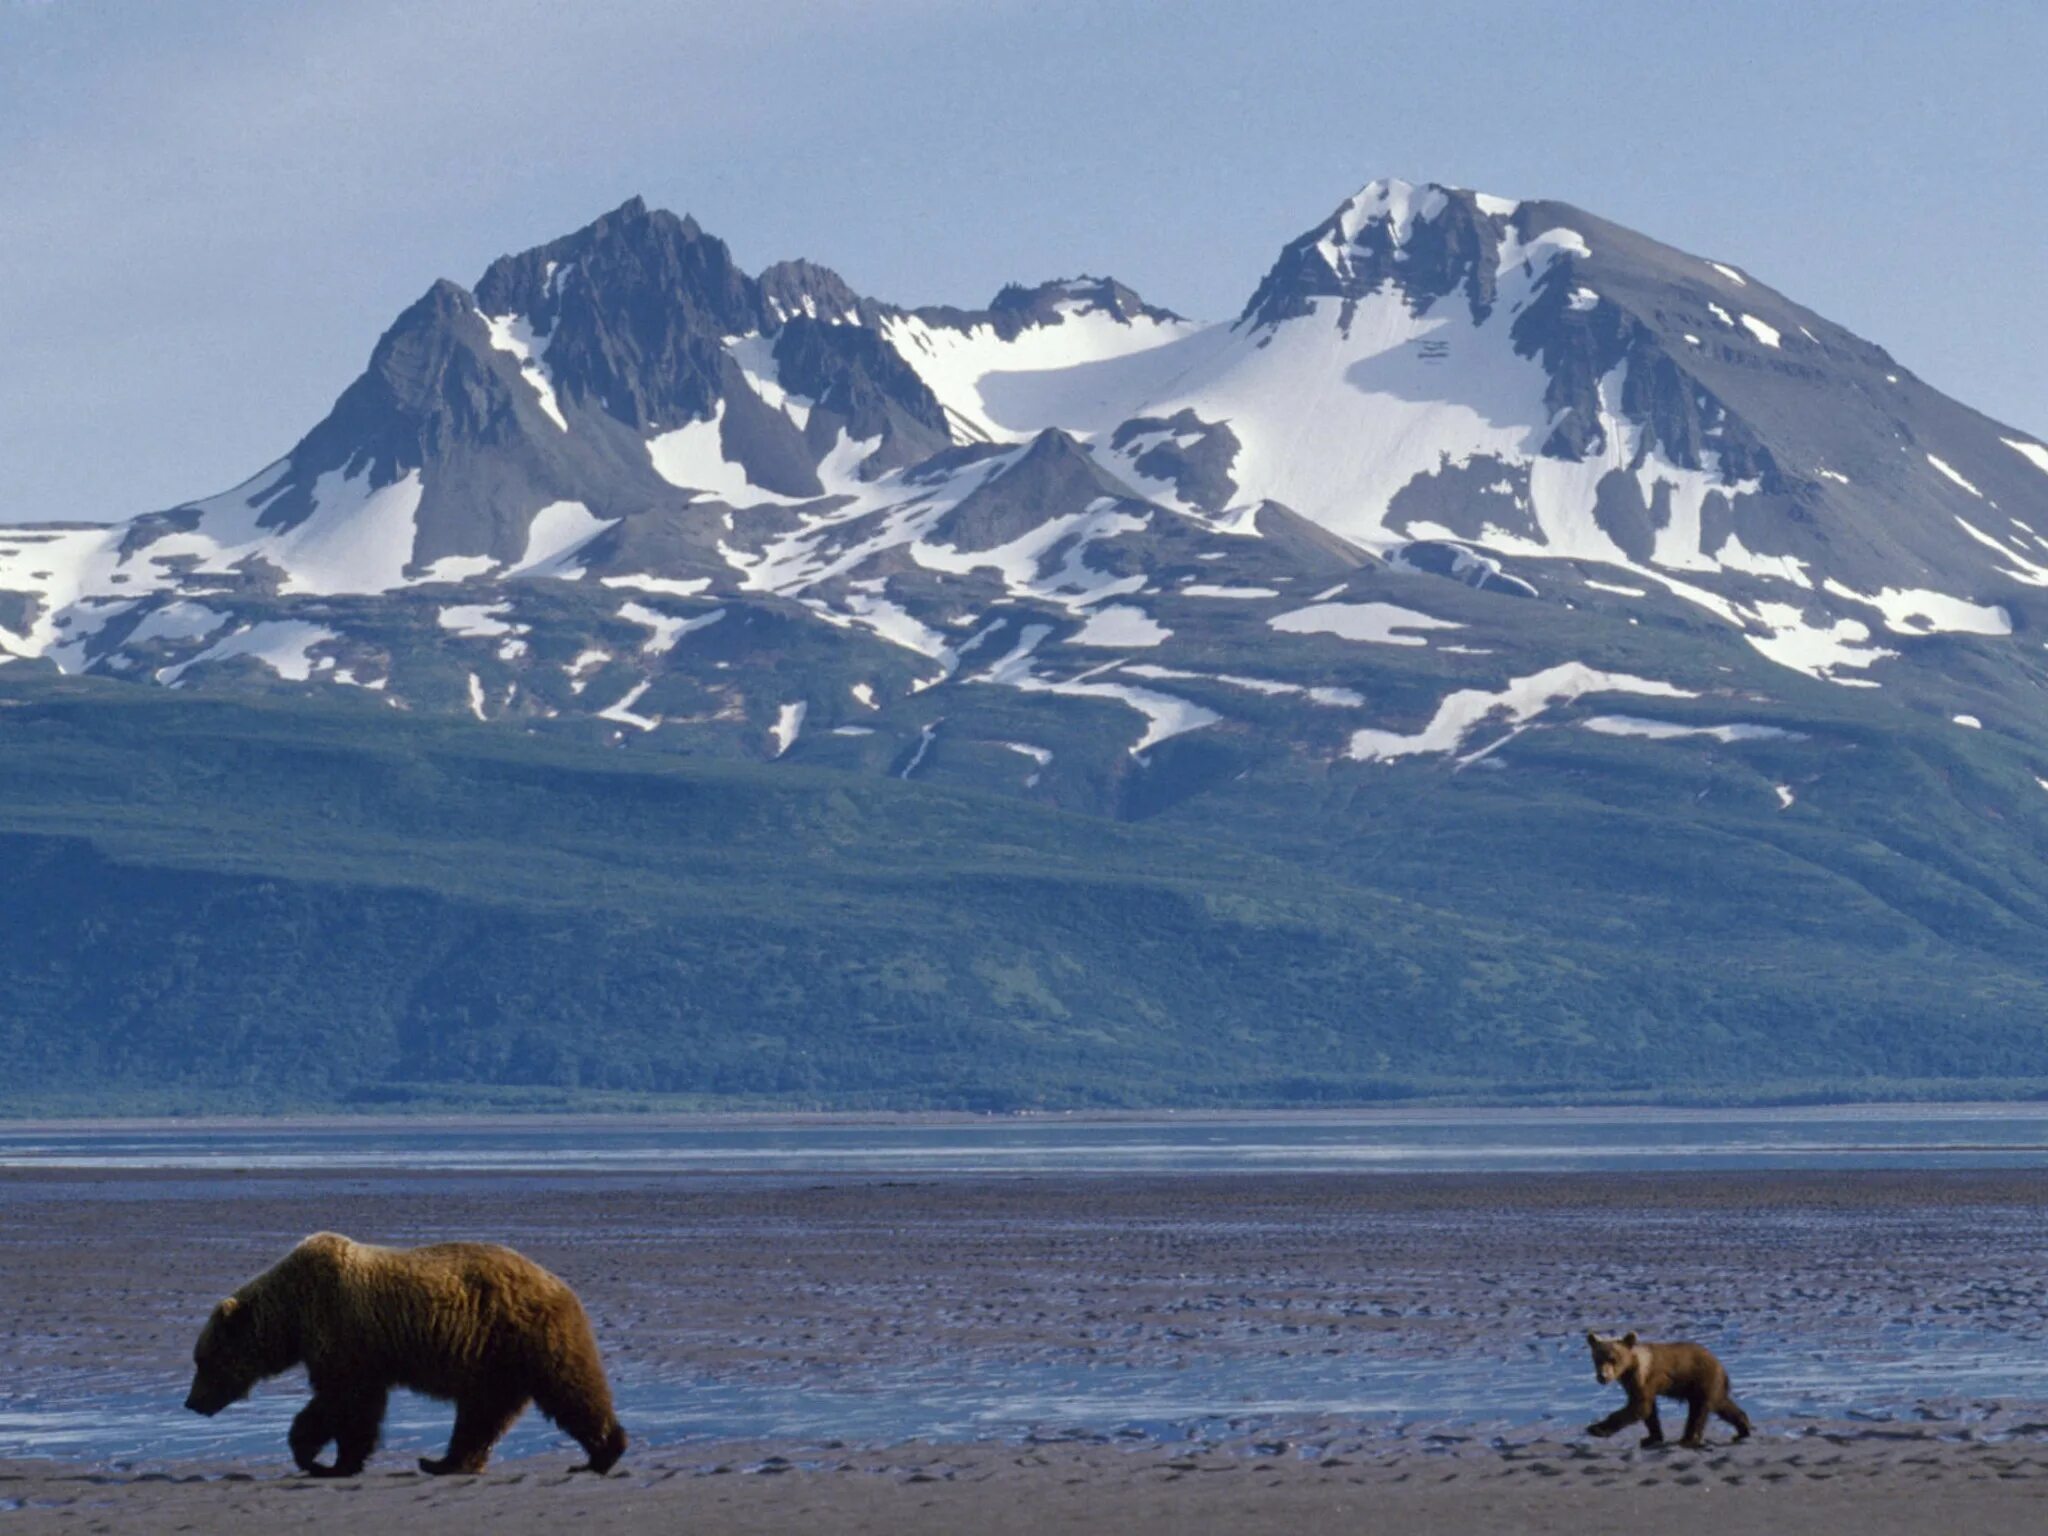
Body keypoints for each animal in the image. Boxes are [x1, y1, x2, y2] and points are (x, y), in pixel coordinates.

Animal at [187, 1228, 626, 1482]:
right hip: (496, 1359)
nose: (191, 1402)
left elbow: (345, 1402)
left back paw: (601, 1454)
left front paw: (324, 1460)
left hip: (525, 1336)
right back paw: (444, 1461)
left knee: (570, 1388)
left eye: (203, 1360)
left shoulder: (344, 1334)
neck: (293, 1315)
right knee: (482, 1413)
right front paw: (325, 1458)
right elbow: (348, 1404)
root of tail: (557, 1282)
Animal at [1581, 1327, 1744, 1449]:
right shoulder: (1633, 1384)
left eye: (1612, 1359)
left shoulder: (1645, 1378)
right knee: (1723, 1405)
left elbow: (1640, 1407)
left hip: (1702, 1380)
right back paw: (1743, 1428)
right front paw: (1651, 1437)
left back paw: (1688, 1439)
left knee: (1698, 1411)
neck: (1631, 1368)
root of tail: (1721, 1367)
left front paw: (1596, 1429)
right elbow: (1649, 1411)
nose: (1603, 1376)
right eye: (1597, 1359)